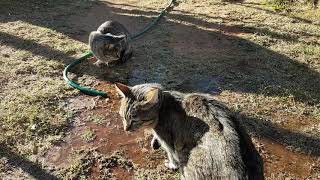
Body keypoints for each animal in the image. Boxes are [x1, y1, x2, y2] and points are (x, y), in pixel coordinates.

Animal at [116, 83, 264, 180]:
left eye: (134, 120)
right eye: (122, 117)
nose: (126, 129)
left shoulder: (168, 142)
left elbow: (171, 155)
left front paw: (171, 164)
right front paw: (154, 141)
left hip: (185, 155)